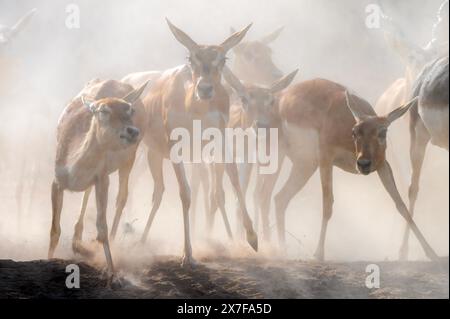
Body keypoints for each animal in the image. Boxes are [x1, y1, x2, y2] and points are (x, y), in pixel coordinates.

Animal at [49, 80, 148, 280]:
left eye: (130, 110)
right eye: (103, 110)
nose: (133, 131)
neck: (73, 169)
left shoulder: (103, 178)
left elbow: (102, 228)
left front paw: (112, 274)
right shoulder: (56, 182)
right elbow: (54, 230)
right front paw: (47, 259)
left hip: (129, 159)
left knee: (122, 197)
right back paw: (77, 241)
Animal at [139, 18, 256, 266]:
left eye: (223, 59)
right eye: (191, 58)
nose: (204, 88)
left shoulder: (219, 140)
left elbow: (233, 178)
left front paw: (252, 238)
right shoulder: (175, 146)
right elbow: (185, 193)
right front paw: (187, 254)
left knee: (160, 191)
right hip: (150, 152)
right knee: (149, 191)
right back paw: (134, 241)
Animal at [222, 65, 298, 240]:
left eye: (271, 101)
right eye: (244, 99)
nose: (261, 125)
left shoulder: (262, 160)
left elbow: (252, 198)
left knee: (258, 195)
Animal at [274, 78, 440, 262]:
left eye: (383, 132)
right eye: (354, 132)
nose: (363, 164)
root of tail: (283, 95)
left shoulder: (382, 165)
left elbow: (400, 205)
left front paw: (431, 253)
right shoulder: (326, 159)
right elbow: (327, 204)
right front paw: (318, 253)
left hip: (305, 165)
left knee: (280, 198)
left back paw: (282, 250)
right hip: (292, 159)